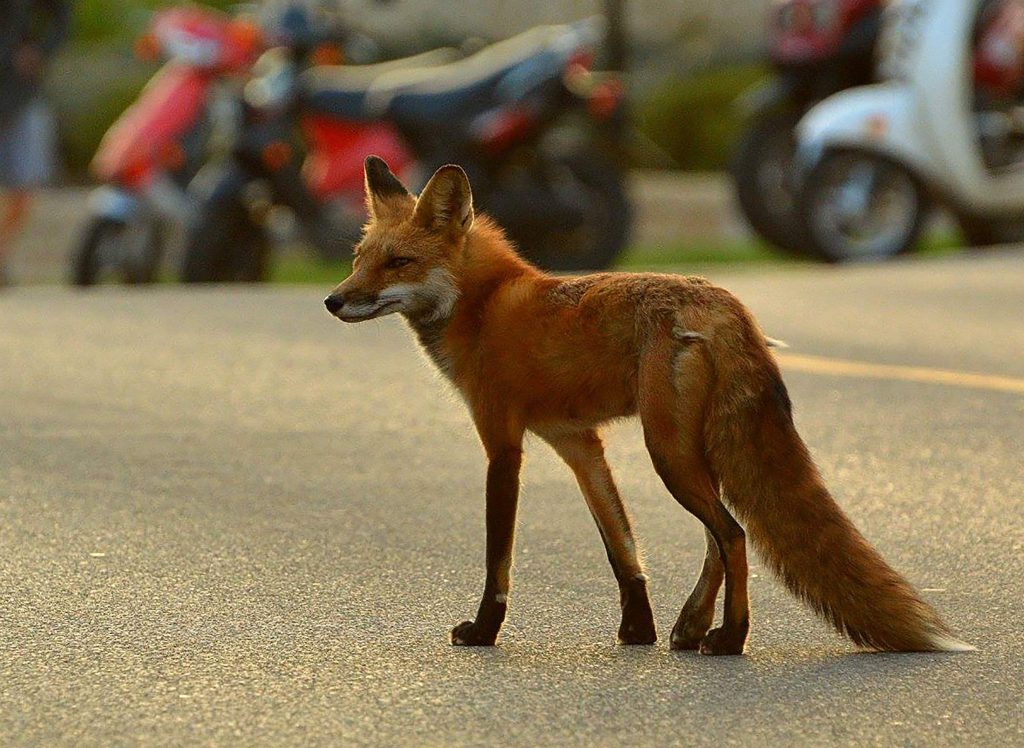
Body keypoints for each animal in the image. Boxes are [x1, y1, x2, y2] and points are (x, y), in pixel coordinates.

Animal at [324, 155, 972, 655]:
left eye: (398, 263)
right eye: (358, 258)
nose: (332, 300)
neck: (484, 305)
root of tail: (727, 303)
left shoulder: (503, 445)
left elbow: (498, 558)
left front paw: (485, 631)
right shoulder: (578, 443)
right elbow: (622, 545)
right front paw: (638, 629)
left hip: (668, 450)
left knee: (734, 535)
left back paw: (730, 638)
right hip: (690, 448)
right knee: (720, 537)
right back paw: (690, 627)